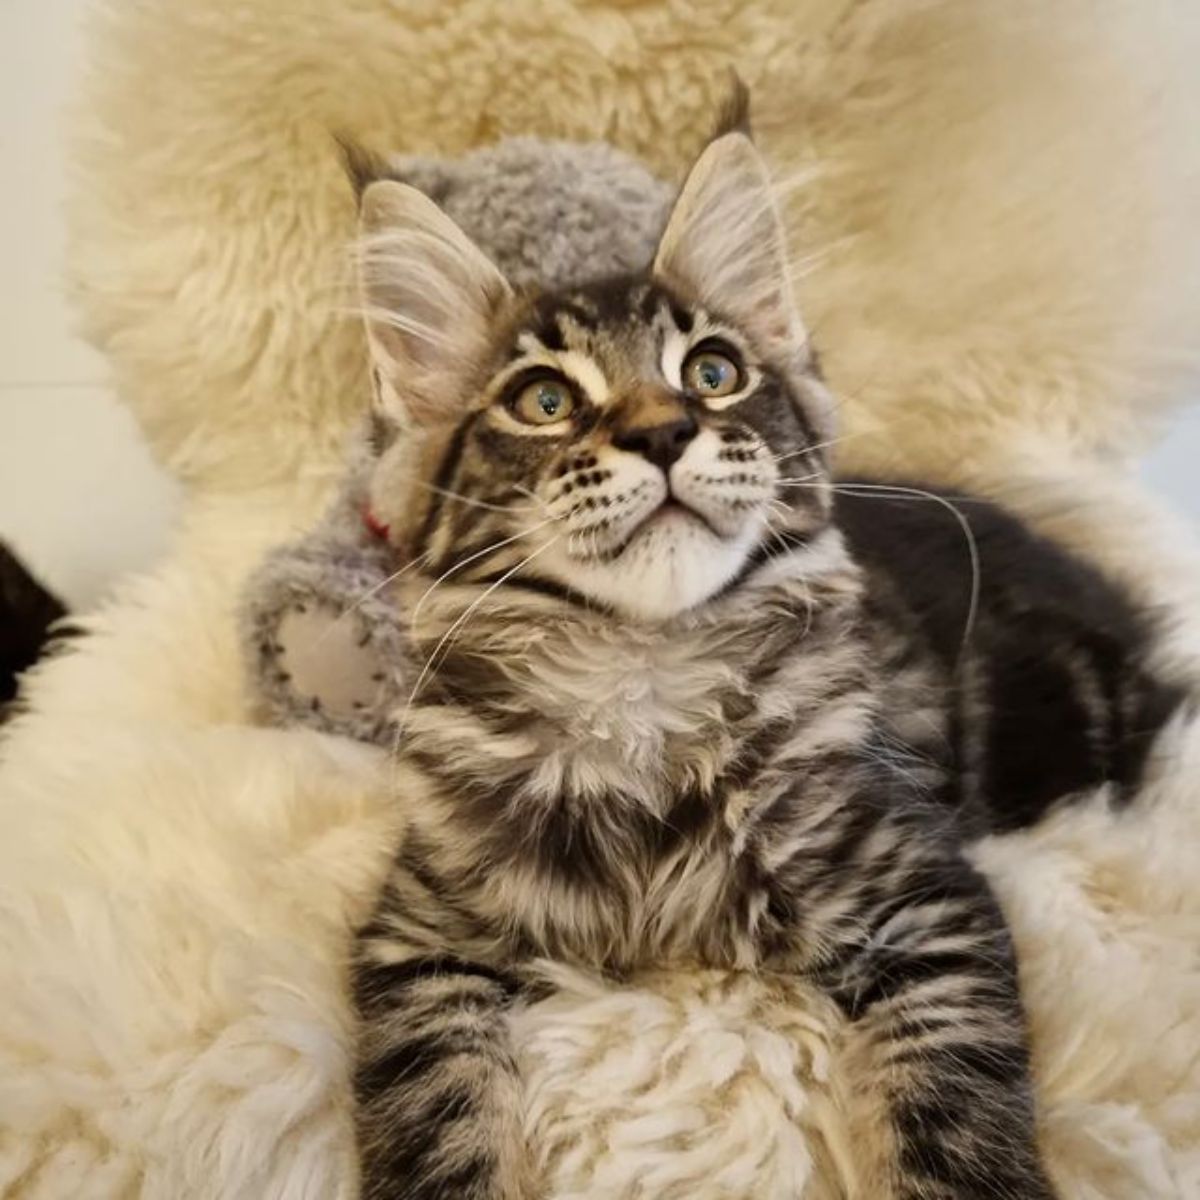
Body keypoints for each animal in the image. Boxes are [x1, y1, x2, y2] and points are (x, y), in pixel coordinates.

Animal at [343, 117, 1176, 1195]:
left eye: (713, 373)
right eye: (543, 400)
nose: (665, 432)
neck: (643, 679)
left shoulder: (927, 895)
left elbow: (955, 1108)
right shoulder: (419, 931)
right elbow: (431, 1115)